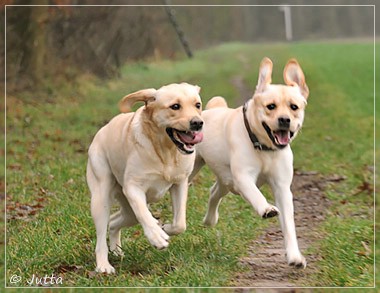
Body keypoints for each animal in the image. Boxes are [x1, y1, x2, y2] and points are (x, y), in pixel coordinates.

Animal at [87, 81, 203, 272]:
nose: (198, 123)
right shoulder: (133, 187)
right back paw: (104, 265)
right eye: (175, 106)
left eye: (197, 105)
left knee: (113, 222)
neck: (166, 152)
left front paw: (166, 228)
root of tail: (102, 129)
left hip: (128, 212)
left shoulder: (180, 183)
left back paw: (116, 251)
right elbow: (144, 213)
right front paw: (157, 236)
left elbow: (180, 223)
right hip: (101, 198)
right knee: (102, 234)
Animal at [191, 58, 310, 268]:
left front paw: (295, 257)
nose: (284, 120)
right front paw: (267, 209)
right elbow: (255, 193)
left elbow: (289, 225)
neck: (264, 148)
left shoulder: (282, 187)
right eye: (271, 106)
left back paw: (210, 220)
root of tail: (210, 110)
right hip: (198, 168)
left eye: (294, 107)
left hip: (226, 180)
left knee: (214, 191)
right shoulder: (243, 177)